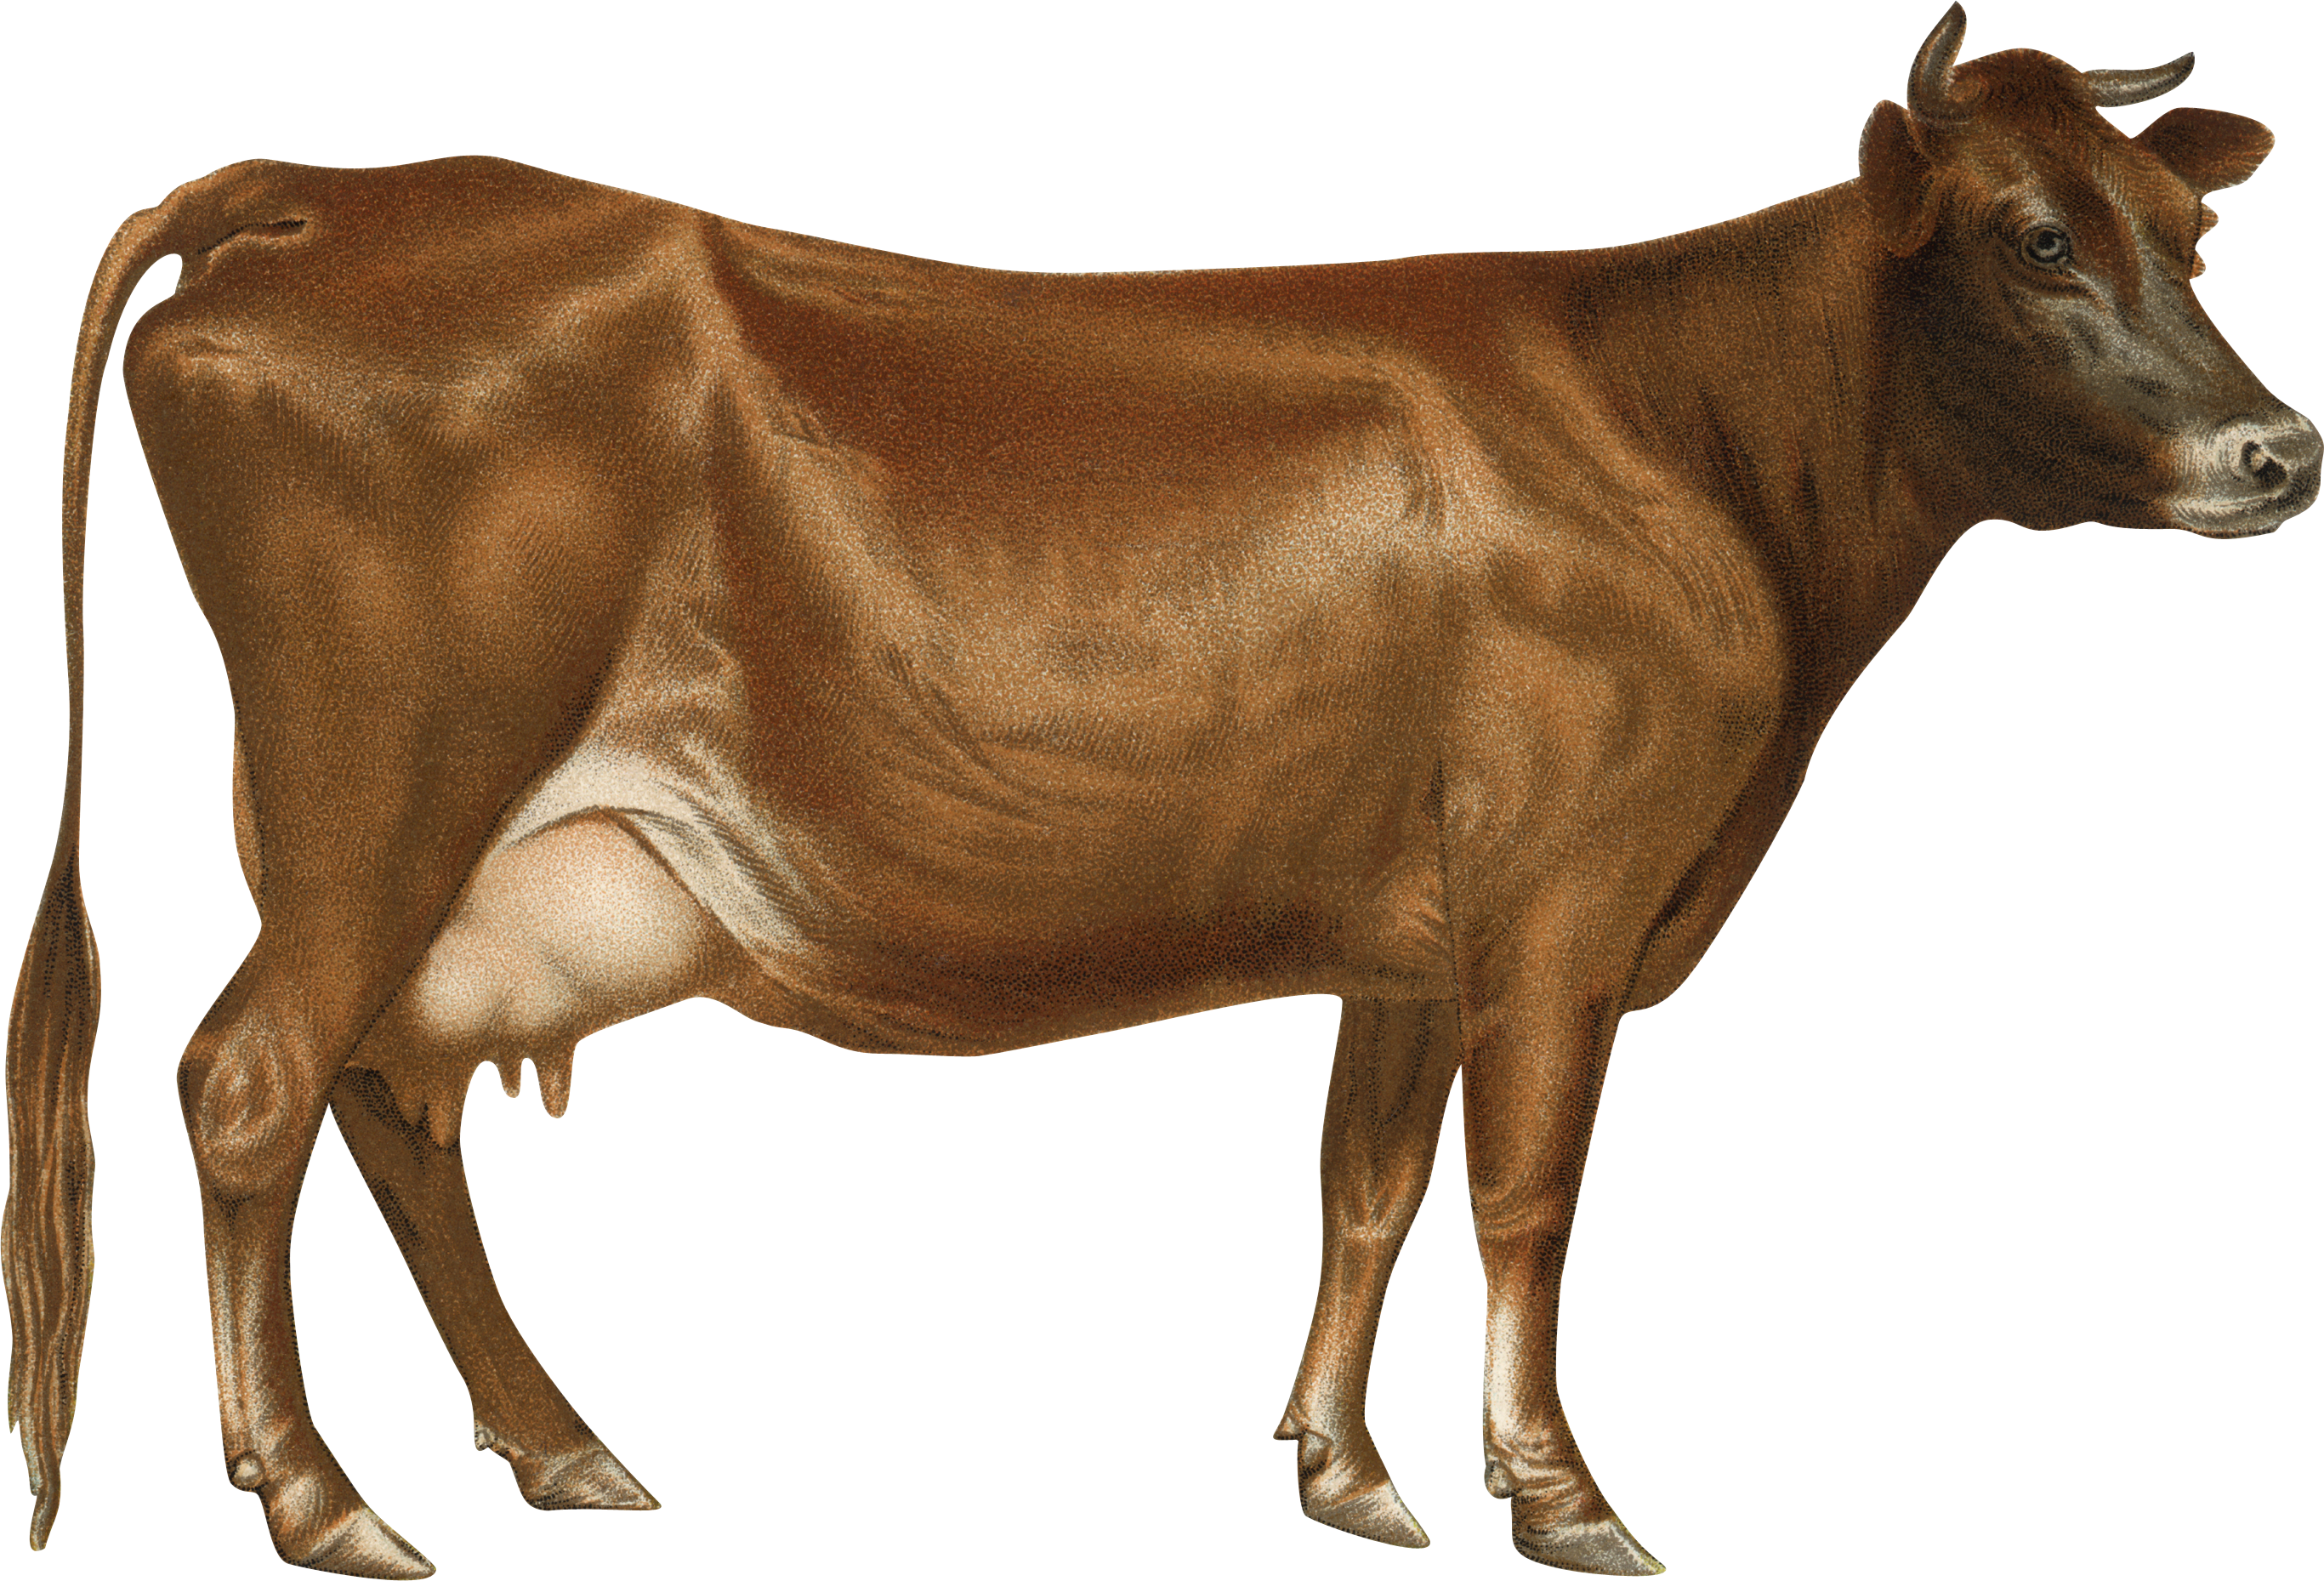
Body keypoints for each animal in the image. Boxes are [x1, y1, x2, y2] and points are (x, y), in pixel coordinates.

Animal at [5, 4, 2313, 1576]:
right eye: (2032, 236)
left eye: (2189, 230)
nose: (2276, 449)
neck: (1700, 438)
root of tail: (333, 185)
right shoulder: (1563, 899)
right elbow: (1527, 1192)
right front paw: (1560, 1494)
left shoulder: (1409, 929)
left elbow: (1364, 1180)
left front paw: (1344, 1469)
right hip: (374, 798)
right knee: (250, 1081)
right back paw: (319, 1497)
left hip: (448, 855)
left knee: (385, 1100)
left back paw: (557, 1441)